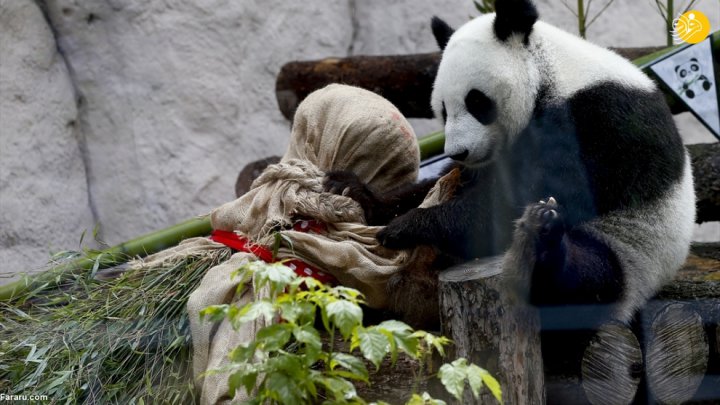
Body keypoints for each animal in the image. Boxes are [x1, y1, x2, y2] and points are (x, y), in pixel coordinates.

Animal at [324, 0, 696, 332]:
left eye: (476, 101)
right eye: (442, 109)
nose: (458, 152)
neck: (553, 73)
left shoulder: (597, 122)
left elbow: (514, 204)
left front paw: (407, 226)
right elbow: (456, 184)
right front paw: (353, 191)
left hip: (632, 252)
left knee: (590, 278)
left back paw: (546, 242)